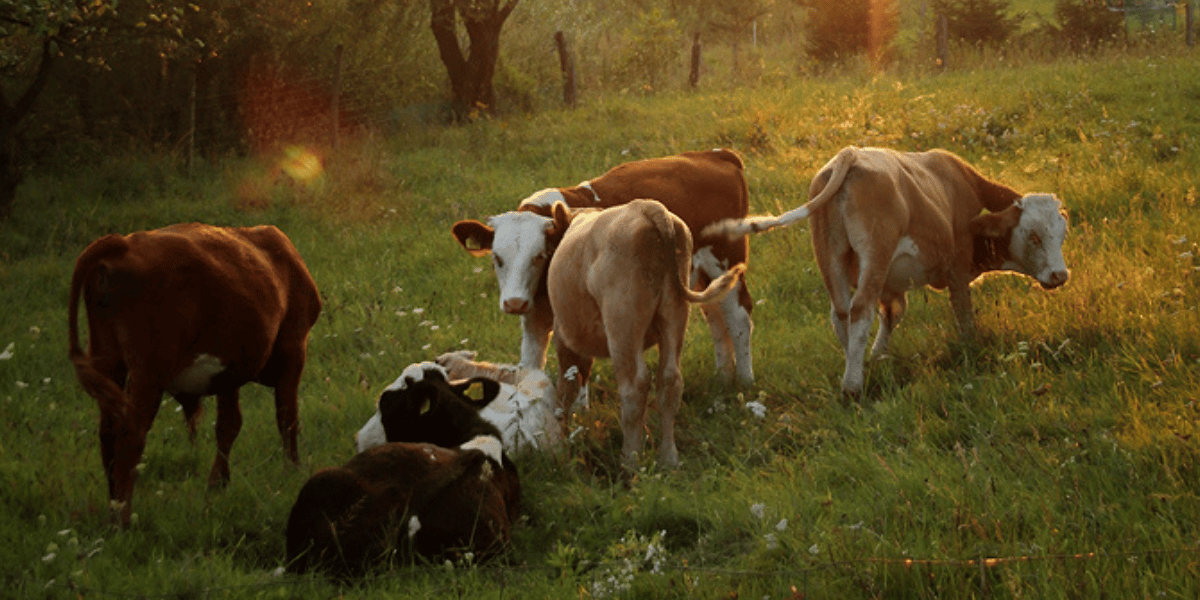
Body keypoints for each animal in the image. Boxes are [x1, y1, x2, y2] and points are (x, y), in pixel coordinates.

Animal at [67, 223, 322, 527]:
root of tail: (123, 244)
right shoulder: (294, 348)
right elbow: (287, 417)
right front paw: (293, 471)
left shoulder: (229, 371)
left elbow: (229, 424)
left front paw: (218, 485)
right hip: (150, 370)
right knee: (131, 435)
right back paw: (124, 519)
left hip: (108, 361)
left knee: (108, 433)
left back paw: (112, 509)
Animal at [451, 149, 756, 391]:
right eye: (497, 258)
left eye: (539, 256)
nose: (514, 303)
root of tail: (715, 154)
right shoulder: (534, 318)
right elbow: (530, 366)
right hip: (701, 276)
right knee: (716, 317)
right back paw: (723, 378)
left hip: (726, 259)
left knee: (739, 317)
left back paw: (744, 382)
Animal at [546, 199, 746, 467]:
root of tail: (647, 207)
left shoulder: (564, 337)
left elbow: (565, 390)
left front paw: (559, 443)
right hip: (674, 313)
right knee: (670, 380)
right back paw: (669, 458)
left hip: (622, 323)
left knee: (634, 387)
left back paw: (629, 460)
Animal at [703, 146, 1070, 396]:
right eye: (1034, 235)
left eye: (1063, 233)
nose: (1060, 275)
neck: (960, 184)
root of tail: (849, 155)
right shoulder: (956, 268)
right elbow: (963, 314)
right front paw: (970, 348)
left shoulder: (891, 286)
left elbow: (893, 314)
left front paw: (878, 355)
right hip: (875, 254)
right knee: (860, 309)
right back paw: (853, 386)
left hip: (830, 256)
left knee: (841, 313)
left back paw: (854, 365)